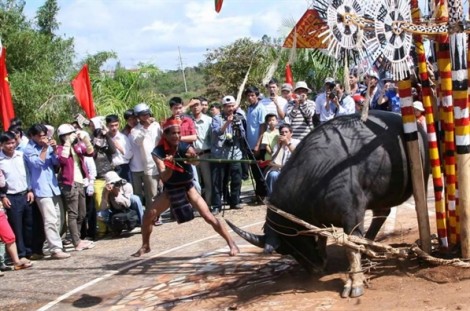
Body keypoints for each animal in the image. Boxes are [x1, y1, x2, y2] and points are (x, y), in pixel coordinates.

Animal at [228, 112, 430, 300]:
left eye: (291, 244)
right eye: (284, 249)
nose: (315, 269)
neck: (314, 178)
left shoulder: (352, 215)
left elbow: (351, 247)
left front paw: (354, 283)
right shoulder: (321, 218)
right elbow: (323, 235)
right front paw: (324, 257)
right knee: (382, 211)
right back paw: (369, 247)